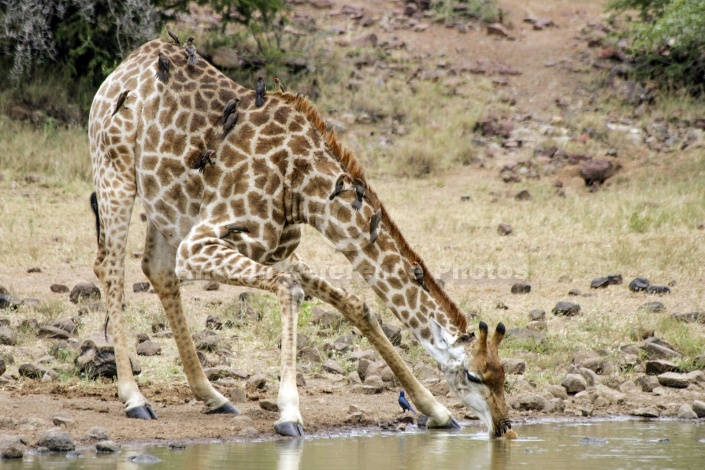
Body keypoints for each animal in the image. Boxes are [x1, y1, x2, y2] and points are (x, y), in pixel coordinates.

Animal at [89, 38, 512, 438]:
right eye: (474, 375)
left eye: (503, 373)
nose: (504, 425)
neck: (302, 185)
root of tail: (131, 61)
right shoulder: (200, 244)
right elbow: (290, 290)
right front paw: (289, 413)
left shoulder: (277, 249)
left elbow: (357, 305)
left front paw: (436, 411)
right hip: (114, 171)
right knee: (109, 267)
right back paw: (134, 398)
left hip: (168, 205)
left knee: (157, 270)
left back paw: (212, 395)